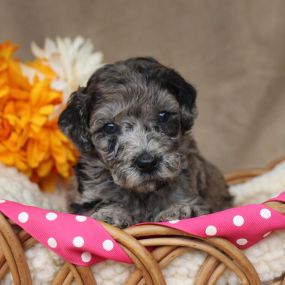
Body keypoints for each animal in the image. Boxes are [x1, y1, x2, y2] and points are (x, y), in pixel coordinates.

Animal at [58, 56, 232, 227]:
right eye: (109, 127)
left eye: (163, 115)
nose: (147, 163)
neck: (143, 192)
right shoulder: (85, 199)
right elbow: (100, 203)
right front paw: (110, 214)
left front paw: (176, 210)